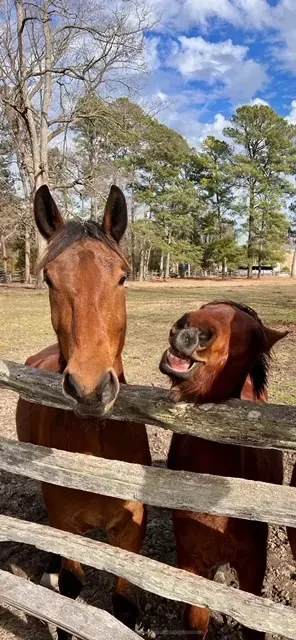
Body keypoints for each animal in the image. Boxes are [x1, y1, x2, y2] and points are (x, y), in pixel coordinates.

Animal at [15, 182, 151, 636]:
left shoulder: (130, 533)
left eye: (123, 276)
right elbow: (69, 597)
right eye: (49, 278)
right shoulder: (66, 527)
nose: (90, 389)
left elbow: (123, 606)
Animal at [160, 302, 286, 640]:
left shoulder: (253, 569)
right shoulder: (191, 565)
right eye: (207, 306)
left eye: (251, 334)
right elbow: (196, 621)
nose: (190, 329)